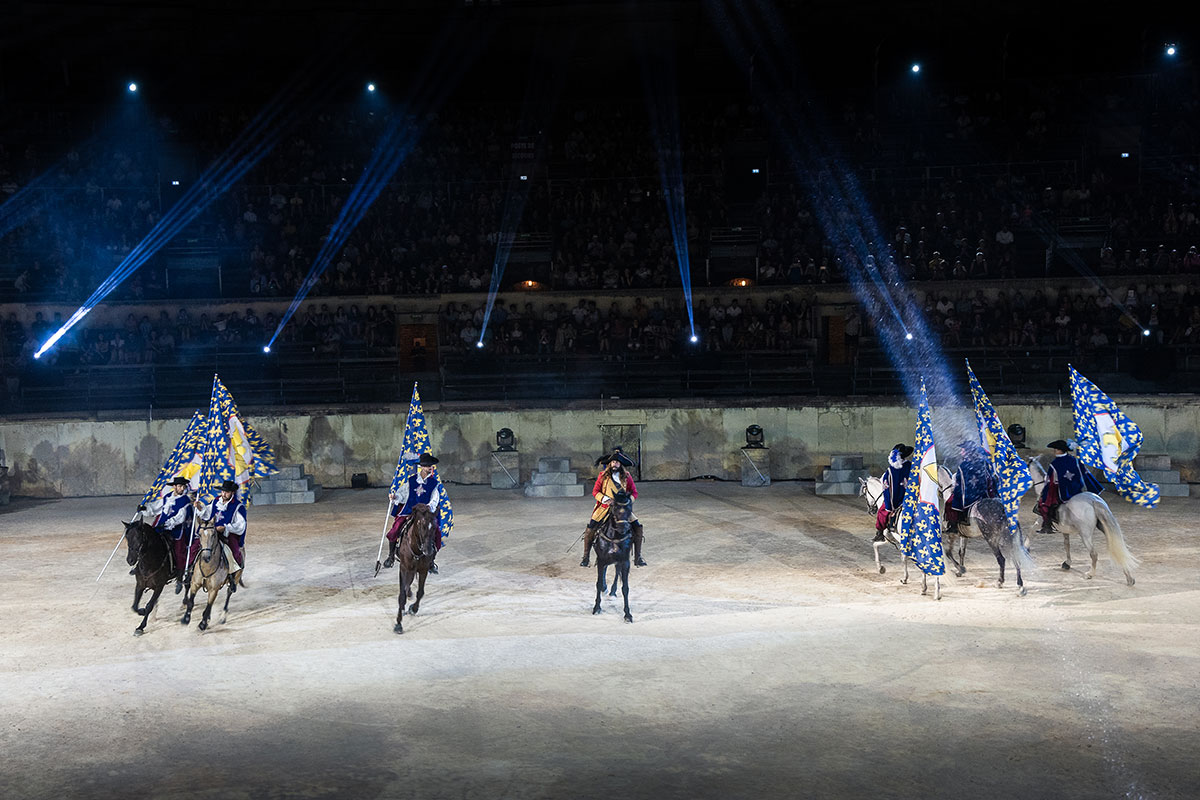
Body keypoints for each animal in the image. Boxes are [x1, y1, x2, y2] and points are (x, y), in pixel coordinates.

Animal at [391, 503, 439, 633]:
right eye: (421, 525)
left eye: (435, 526)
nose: (428, 550)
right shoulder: (404, 568)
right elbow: (401, 595)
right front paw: (398, 623)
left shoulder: (423, 570)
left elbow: (420, 592)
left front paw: (413, 608)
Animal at [583, 491, 633, 623]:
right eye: (614, 507)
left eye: (630, 508)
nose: (623, 527)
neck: (615, 536)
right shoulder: (601, 560)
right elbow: (599, 583)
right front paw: (596, 608)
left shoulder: (624, 562)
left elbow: (625, 588)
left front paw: (627, 614)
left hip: (618, 562)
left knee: (616, 573)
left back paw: (612, 591)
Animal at [1027, 455, 1137, 587]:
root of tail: (1094, 500)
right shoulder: (1065, 530)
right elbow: (1067, 545)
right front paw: (1067, 563)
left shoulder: (1040, 520)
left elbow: (1031, 531)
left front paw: (1026, 548)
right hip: (1105, 529)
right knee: (1116, 548)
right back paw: (1129, 577)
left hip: (1085, 535)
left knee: (1094, 554)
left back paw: (1090, 574)